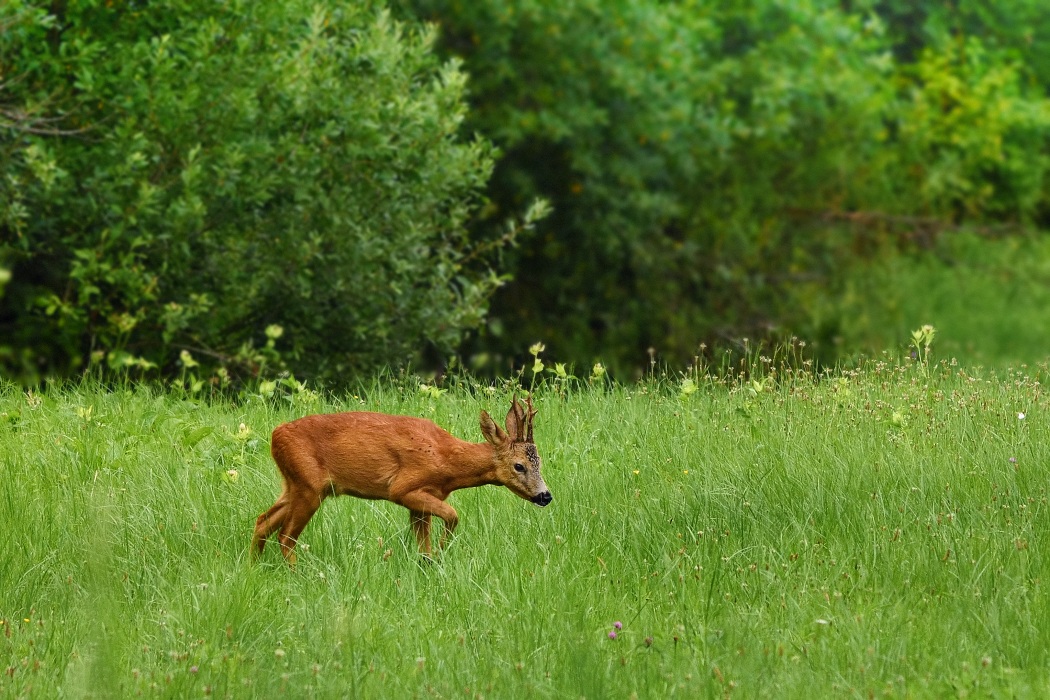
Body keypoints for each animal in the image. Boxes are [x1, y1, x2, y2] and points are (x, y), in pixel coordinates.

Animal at [251, 394, 550, 562]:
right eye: (519, 466)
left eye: (540, 462)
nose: (545, 495)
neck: (447, 459)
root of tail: (276, 435)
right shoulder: (404, 488)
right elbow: (453, 516)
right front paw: (441, 551)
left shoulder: (423, 500)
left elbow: (423, 545)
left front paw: (429, 563)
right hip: (309, 486)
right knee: (286, 536)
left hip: (295, 484)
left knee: (262, 522)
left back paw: (254, 568)